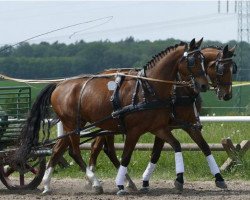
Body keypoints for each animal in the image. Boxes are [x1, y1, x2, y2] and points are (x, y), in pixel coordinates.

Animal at [14, 38, 208, 195]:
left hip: (74, 125)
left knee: (57, 150)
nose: (204, 85)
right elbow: (126, 156)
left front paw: (178, 180)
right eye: (193, 60)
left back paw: (47, 185)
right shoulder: (134, 130)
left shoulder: (158, 127)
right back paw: (95, 182)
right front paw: (121, 186)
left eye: (204, 60)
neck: (148, 88)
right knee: (74, 151)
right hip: (73, 124)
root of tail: (59, 85)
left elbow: (175, 145)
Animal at [88, 44, 236, 191]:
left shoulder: (188, 125)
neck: (180, 89)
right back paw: (94, 180)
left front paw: (219, 178)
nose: (227, 95)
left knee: (107, 149)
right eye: (221, 69)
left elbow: (205, 147)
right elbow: (157, 153)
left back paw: (120, 181)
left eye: (233, 69)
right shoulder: (164, 126)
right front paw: (152, 181)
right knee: (97, 147)